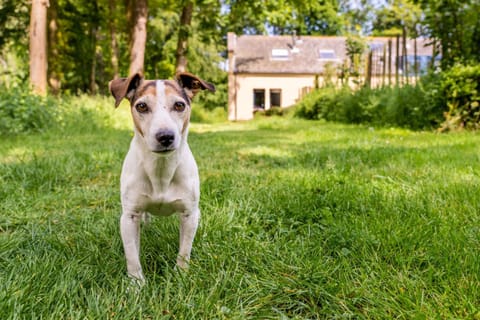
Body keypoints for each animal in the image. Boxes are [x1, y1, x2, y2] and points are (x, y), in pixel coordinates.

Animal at [109, 72, 215, 282]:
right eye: (141, 106)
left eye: (179, 105)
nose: (165, 136)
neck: (161, 169)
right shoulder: (129, 217)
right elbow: (132, 256)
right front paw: (136, 284)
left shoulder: (190, 214)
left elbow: (184, 251)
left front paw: (181, 275)